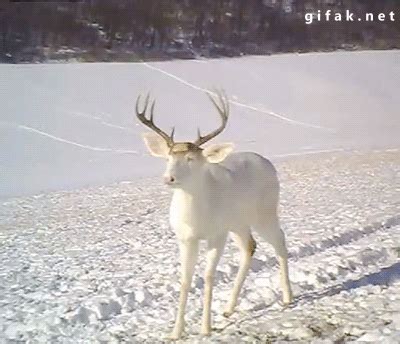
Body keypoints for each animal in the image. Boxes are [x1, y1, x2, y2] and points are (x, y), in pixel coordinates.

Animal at [136, 90, 292, 340]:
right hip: (237, 223)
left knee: (279, 240)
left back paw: (287, 296)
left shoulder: (217, 235)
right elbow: (185, 279)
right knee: (250, 246)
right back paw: (229, 308)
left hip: (265, 211)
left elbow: (209, 276)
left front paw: (205, 328)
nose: (169, 178)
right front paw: (176, 332)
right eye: (168, 158)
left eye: (191, 159)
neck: (196, 220)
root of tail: (267, 162)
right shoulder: (185, 238)